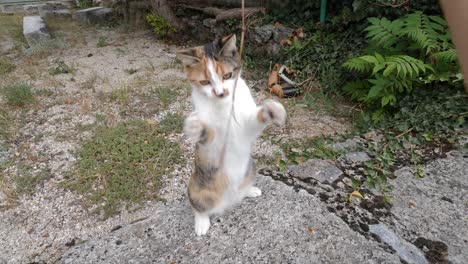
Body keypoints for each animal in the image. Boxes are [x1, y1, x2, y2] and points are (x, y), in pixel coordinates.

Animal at [176, 34, 286, 235]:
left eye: (226, 76)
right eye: (205, 82)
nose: (220, 93)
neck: (225, 105)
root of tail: (228, 201)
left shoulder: (245, 128)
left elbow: (255, 120)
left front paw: (272, 110)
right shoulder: (214, 142)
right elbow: (207, 133)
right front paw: (195, 127)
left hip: (251, 167)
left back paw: (248, 191)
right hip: (197, 187)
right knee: (198, 206)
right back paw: (201, 223)